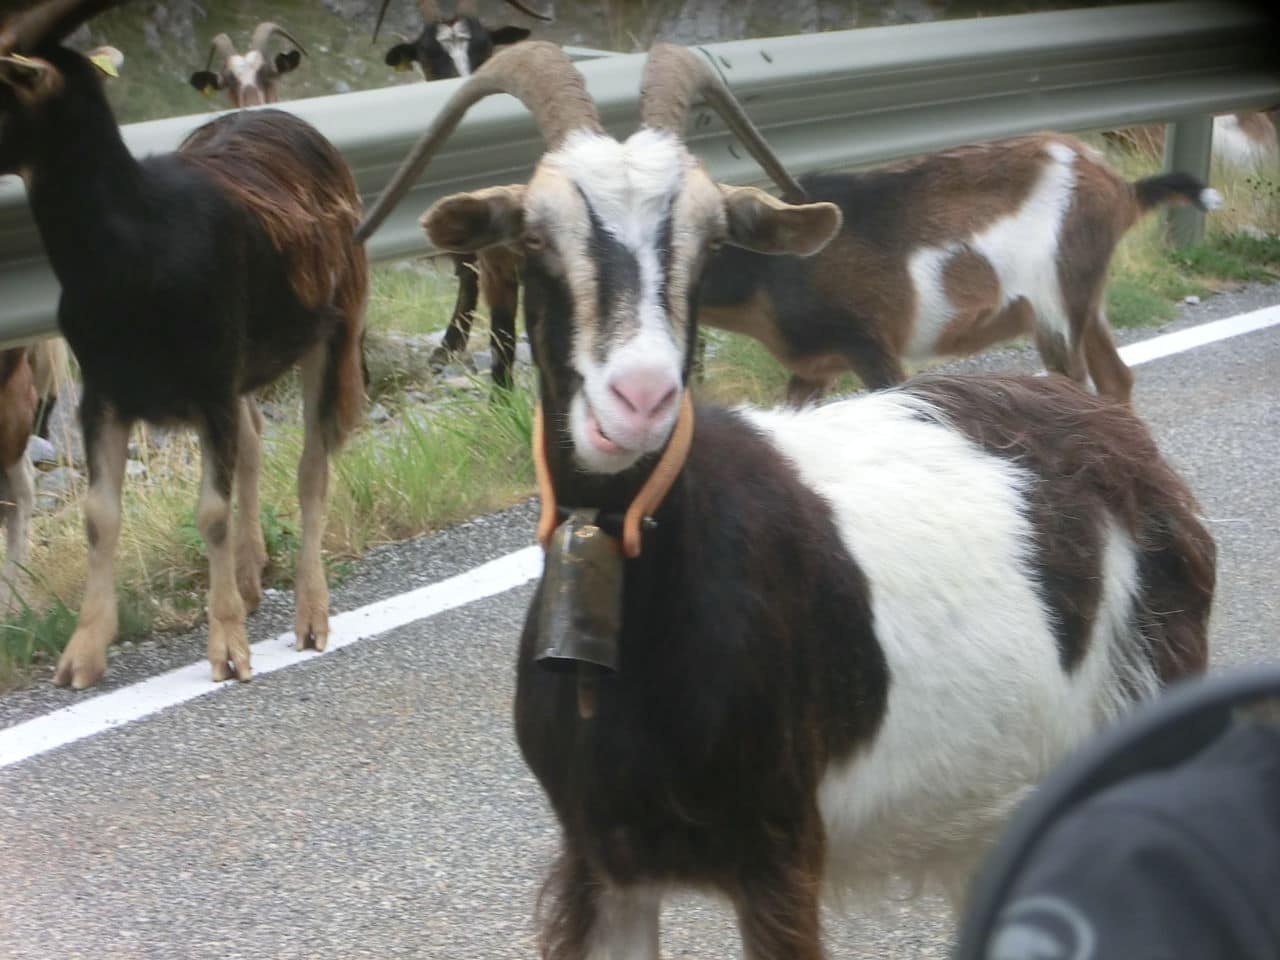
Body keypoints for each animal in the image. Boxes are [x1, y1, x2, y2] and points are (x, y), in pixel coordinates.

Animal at [1, 0, 371, 691]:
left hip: (334, 326)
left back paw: (310, 616)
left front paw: (227, 647)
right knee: (256, 444)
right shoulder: (103, 391)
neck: (132, 251)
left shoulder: (211, 380)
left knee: (313, 465)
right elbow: (99, 514)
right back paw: (252, 580)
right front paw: (82, 654)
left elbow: (211, 513)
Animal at [363, 41, 1218, 957]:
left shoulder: (779, 858)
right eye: (533, 233)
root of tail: (1116, 433)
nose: (641, 396)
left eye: (708, 240)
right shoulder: (600, 862)